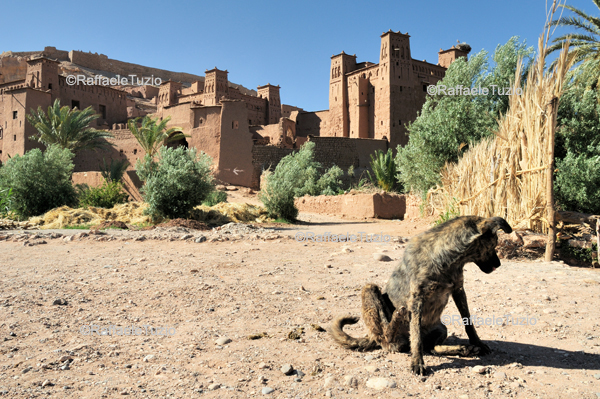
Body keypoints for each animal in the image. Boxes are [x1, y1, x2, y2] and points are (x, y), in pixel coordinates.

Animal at [330, 216, 512, 376]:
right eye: (493, 244)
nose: (499, 264)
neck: (448, 259)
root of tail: (371, 336)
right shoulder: (417, 298)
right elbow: (416, 336)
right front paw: (417, 362)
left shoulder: (459, 290)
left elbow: (469, 323)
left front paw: (477, 343)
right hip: (370, 289)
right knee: (388, 337)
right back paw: (396, 318)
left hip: (441, 328)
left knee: (431, 348)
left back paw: (463, 349)